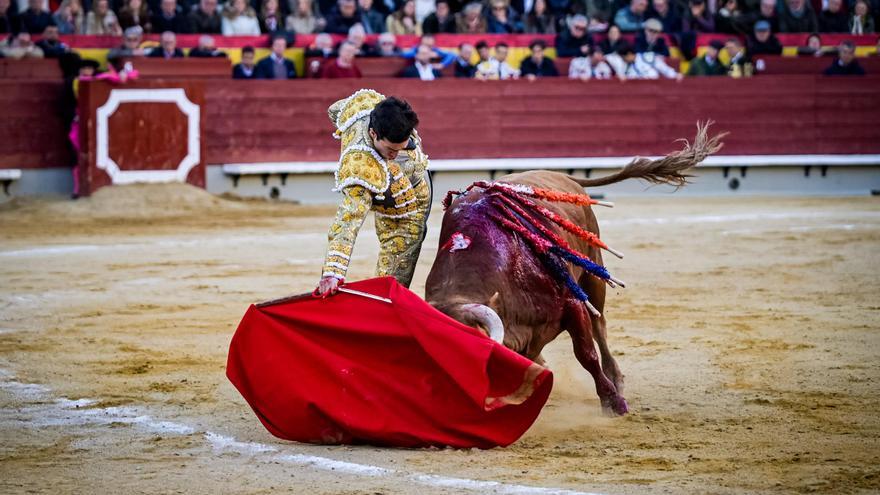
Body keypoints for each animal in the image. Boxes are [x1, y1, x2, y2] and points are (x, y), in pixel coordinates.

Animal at [426, 123, 720, 414]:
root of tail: (562, 176)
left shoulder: (571, 304)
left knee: (600, 325)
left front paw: (613, 402)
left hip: (593, 272)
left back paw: (616, 380)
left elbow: (585, 353)